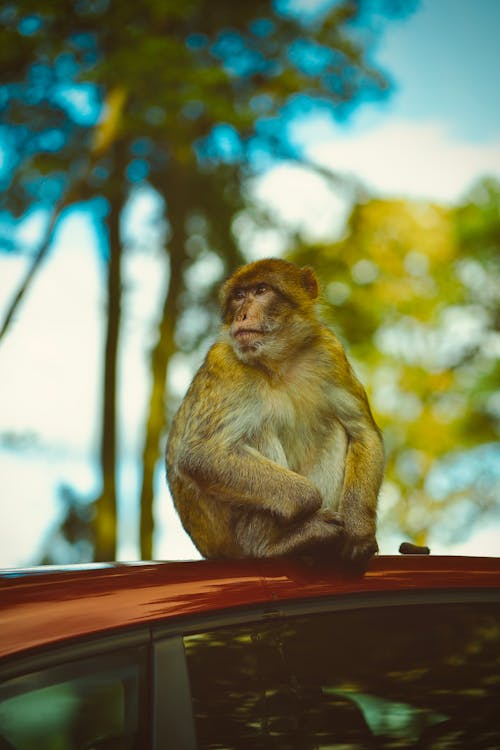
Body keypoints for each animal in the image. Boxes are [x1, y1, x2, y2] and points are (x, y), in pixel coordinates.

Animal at [166, 256, 384, 568]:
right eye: (238, 296)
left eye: (260, 290)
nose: (242, 315)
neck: (279, 363)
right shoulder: (226, 363)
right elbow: (201, 455)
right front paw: (309, 500)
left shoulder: (329, 351)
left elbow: (362, 432)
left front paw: (359, 531)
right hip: (235, 539)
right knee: (255, 431)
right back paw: (278, 542)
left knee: (334, 429)